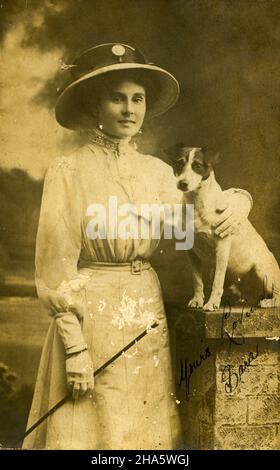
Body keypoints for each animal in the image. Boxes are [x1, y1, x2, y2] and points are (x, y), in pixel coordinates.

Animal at [167, 145, 278, 310]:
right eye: (179, 163)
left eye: (197, 165)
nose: (182, 183)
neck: (196, 202)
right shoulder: (192, 251)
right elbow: (197, 279)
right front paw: (197, 300)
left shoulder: (222, 246)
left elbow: (217, 281)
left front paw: (212, 303)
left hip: (262, 270)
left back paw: (267, 302)